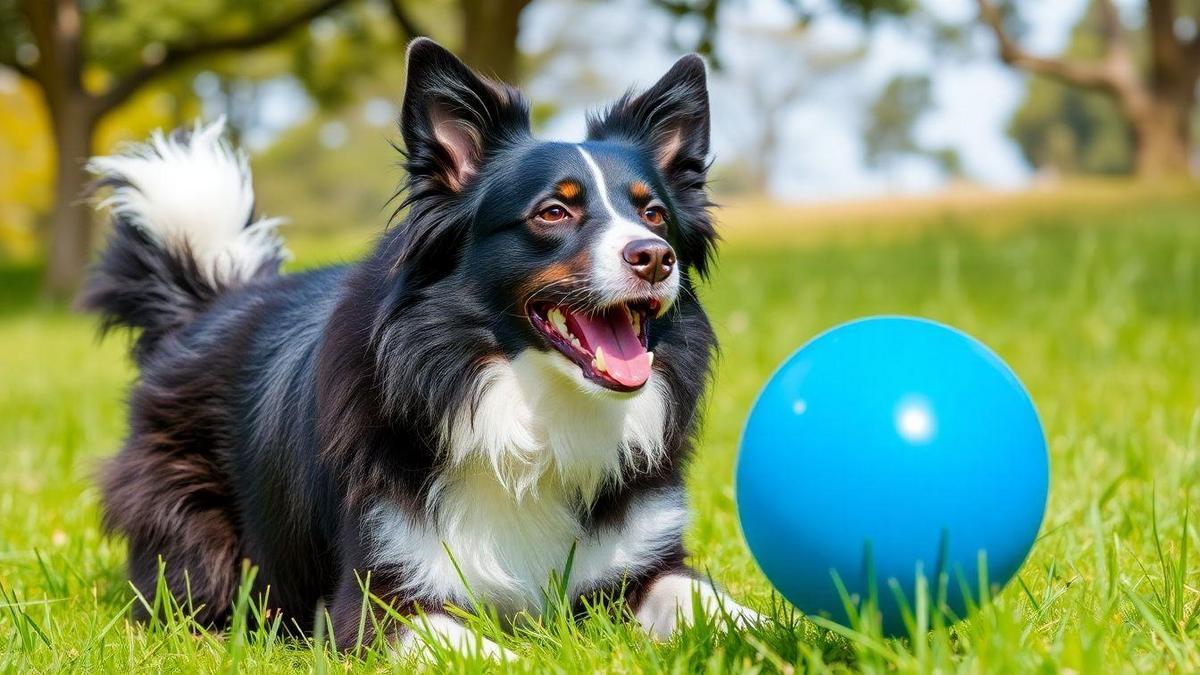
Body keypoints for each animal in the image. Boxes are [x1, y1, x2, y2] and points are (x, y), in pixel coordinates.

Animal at [82, 38, 758, 658]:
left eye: (654, 213)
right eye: (552, 212)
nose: (655, 257)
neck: (530, 412)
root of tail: (209, 302)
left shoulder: (643, 562)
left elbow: (710, 602)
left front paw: (772, 632)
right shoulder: (378, 599)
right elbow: (482, 650)